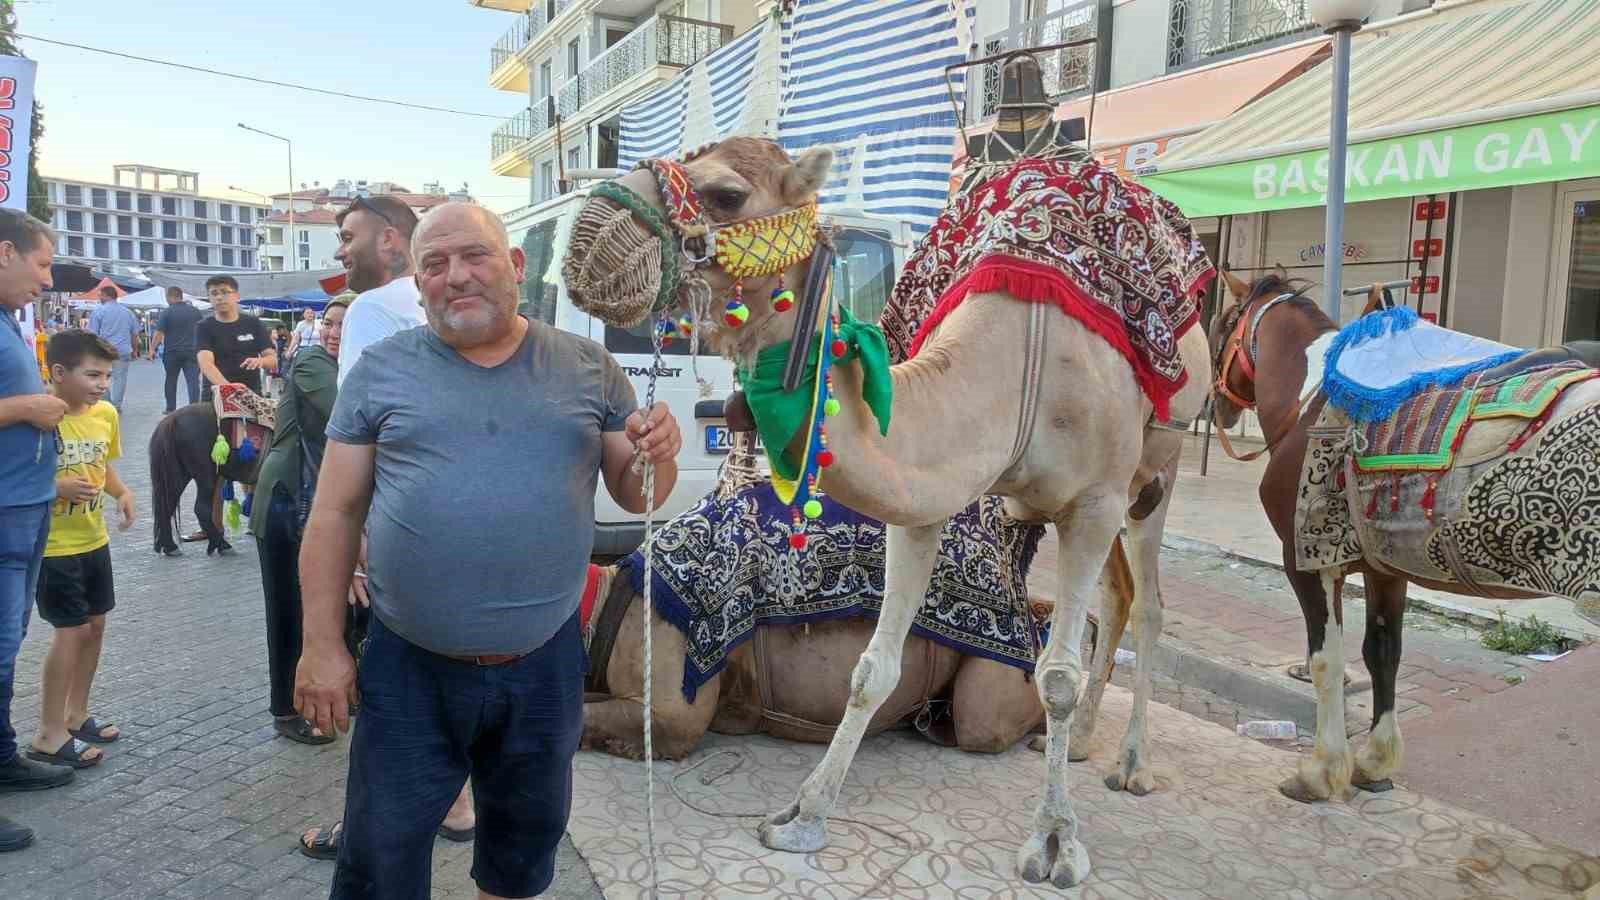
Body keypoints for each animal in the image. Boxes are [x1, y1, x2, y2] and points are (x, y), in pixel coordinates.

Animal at [566, 136, 1209, 883]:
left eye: (726, 193)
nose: (588, 238)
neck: (1019, 371)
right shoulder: (929, 490)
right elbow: (872, 669)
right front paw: (803, 814)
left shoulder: (1094, 501)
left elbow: (1055, 677)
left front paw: (1054, 839)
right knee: (1114, 597)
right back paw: (1077, 742)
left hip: (1149, 479)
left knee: (1149, 605)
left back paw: (1131, 764)